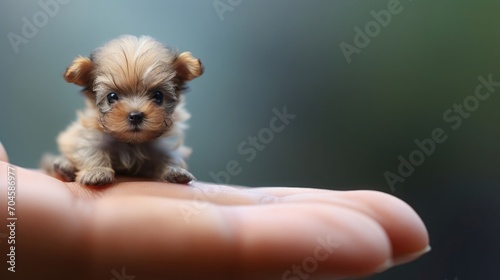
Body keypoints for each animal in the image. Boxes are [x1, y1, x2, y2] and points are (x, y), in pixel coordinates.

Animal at [43, 35, 203, 186]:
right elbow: (90, 150)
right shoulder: (82, 135)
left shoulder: (163, 147)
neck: (131, 143)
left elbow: (170, 156)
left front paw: (175, 170)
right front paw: (97, 171)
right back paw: (63, 168)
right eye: (111, 97)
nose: (136, 116)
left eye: (158, 96)